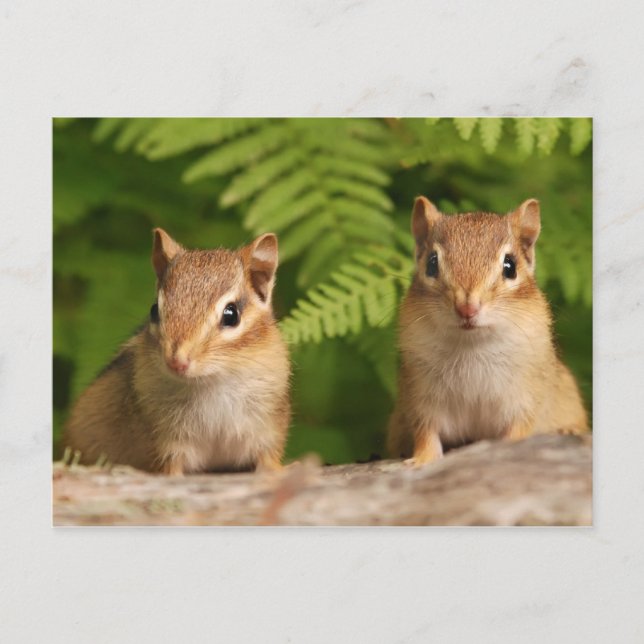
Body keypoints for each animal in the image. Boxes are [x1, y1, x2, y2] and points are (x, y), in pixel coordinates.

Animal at [63, 229, 291, 475]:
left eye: (231, 315)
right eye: (154, 310)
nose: (176, 361)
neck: (210, 382)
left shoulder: (267, 430)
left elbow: (269, 459)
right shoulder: (165, 441)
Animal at [387, 196, 588, 465]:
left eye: (510, 266)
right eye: (431, 263)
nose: (467, 307)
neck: (471, 344)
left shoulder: (525, 400)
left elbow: (520, 430)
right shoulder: (420, 398)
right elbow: (426, 433)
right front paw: (421, 460)